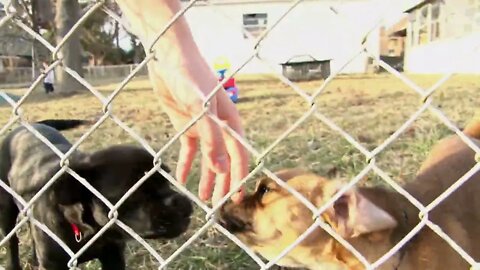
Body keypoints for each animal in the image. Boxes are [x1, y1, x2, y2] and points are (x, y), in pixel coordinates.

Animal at [1, 119, 193, 270]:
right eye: (135, 192)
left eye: (167, 180)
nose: (182, 201)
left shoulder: (113, 256)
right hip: (7, 213)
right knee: (12, 243)